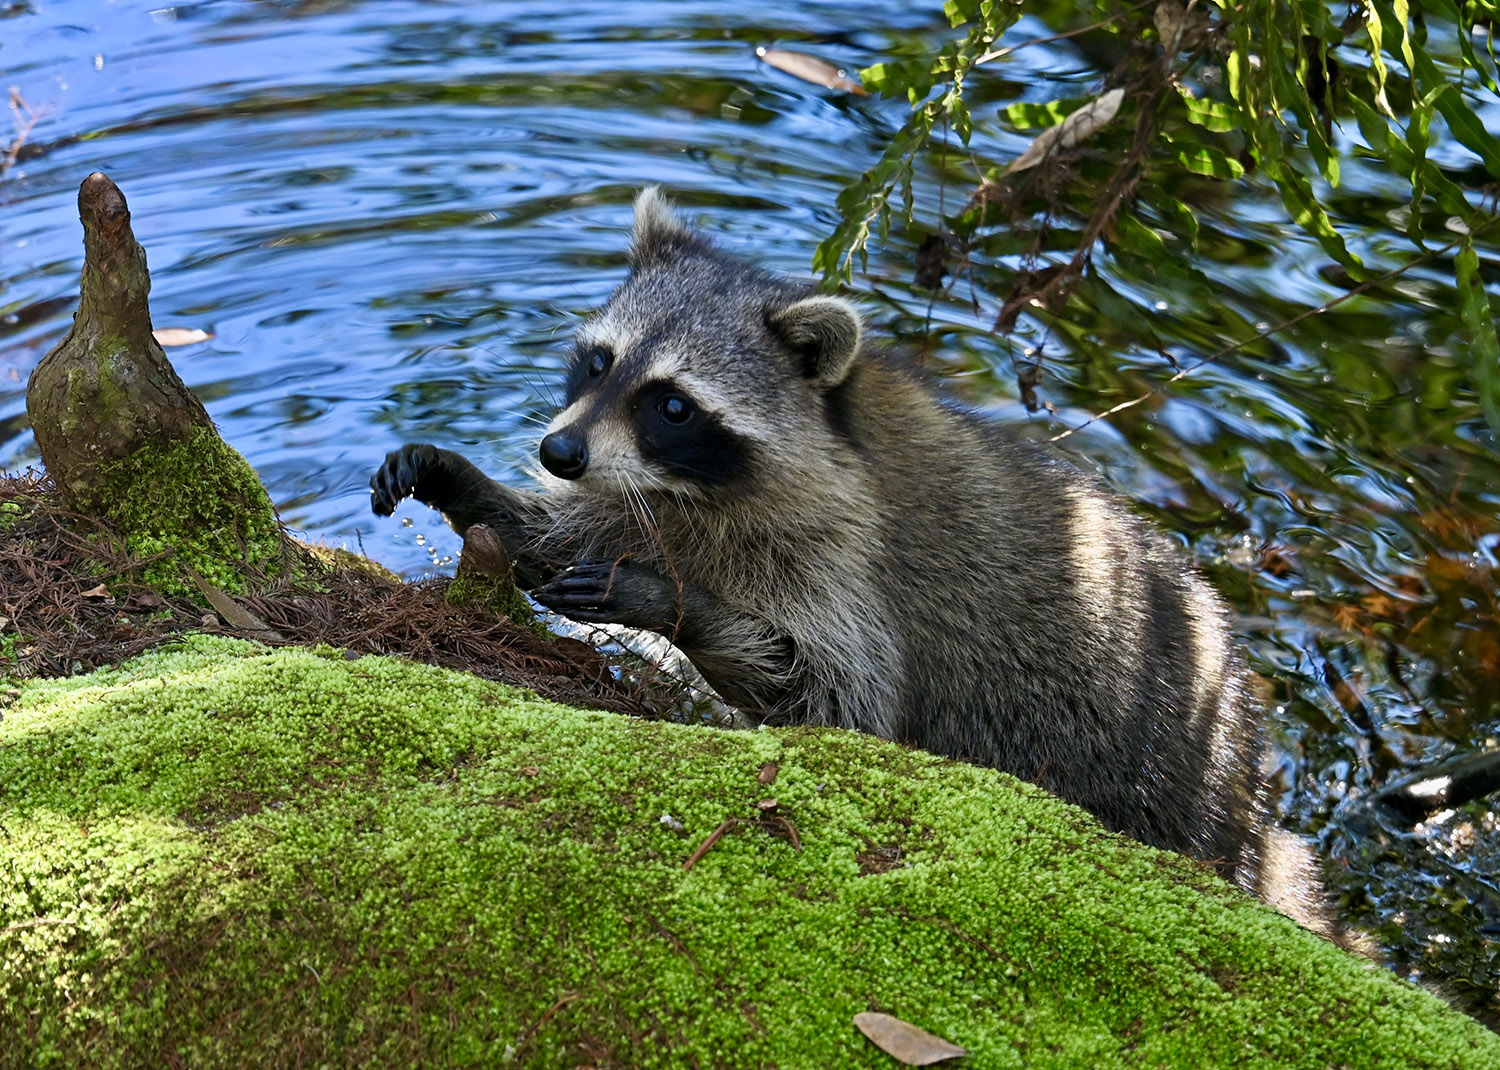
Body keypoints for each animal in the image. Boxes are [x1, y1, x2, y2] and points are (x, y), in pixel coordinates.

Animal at [370, 189, 1300, 907]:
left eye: (671, 404)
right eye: (598, 362)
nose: (559, 452)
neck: (693, 491)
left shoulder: (846, 558)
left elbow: (835, 705)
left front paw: (674, 607)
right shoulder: (640, 503)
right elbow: (559, 535)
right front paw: (466, 484)